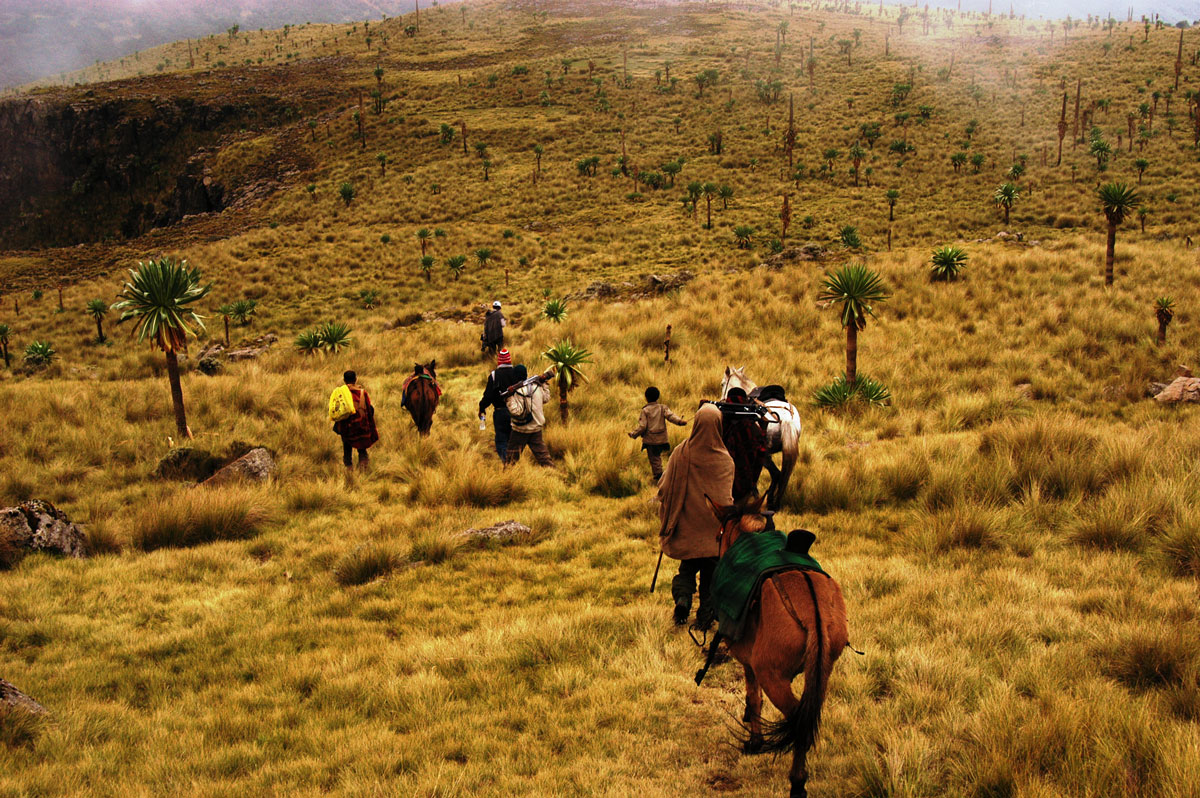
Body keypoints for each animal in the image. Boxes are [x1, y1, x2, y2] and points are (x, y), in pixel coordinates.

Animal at [715, 367, 801, 511]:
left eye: (722, 384)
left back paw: (768, 499)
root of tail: (786, 418)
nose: (722, 401)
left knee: (776, 474)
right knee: (782, 475)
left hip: (765, 454)